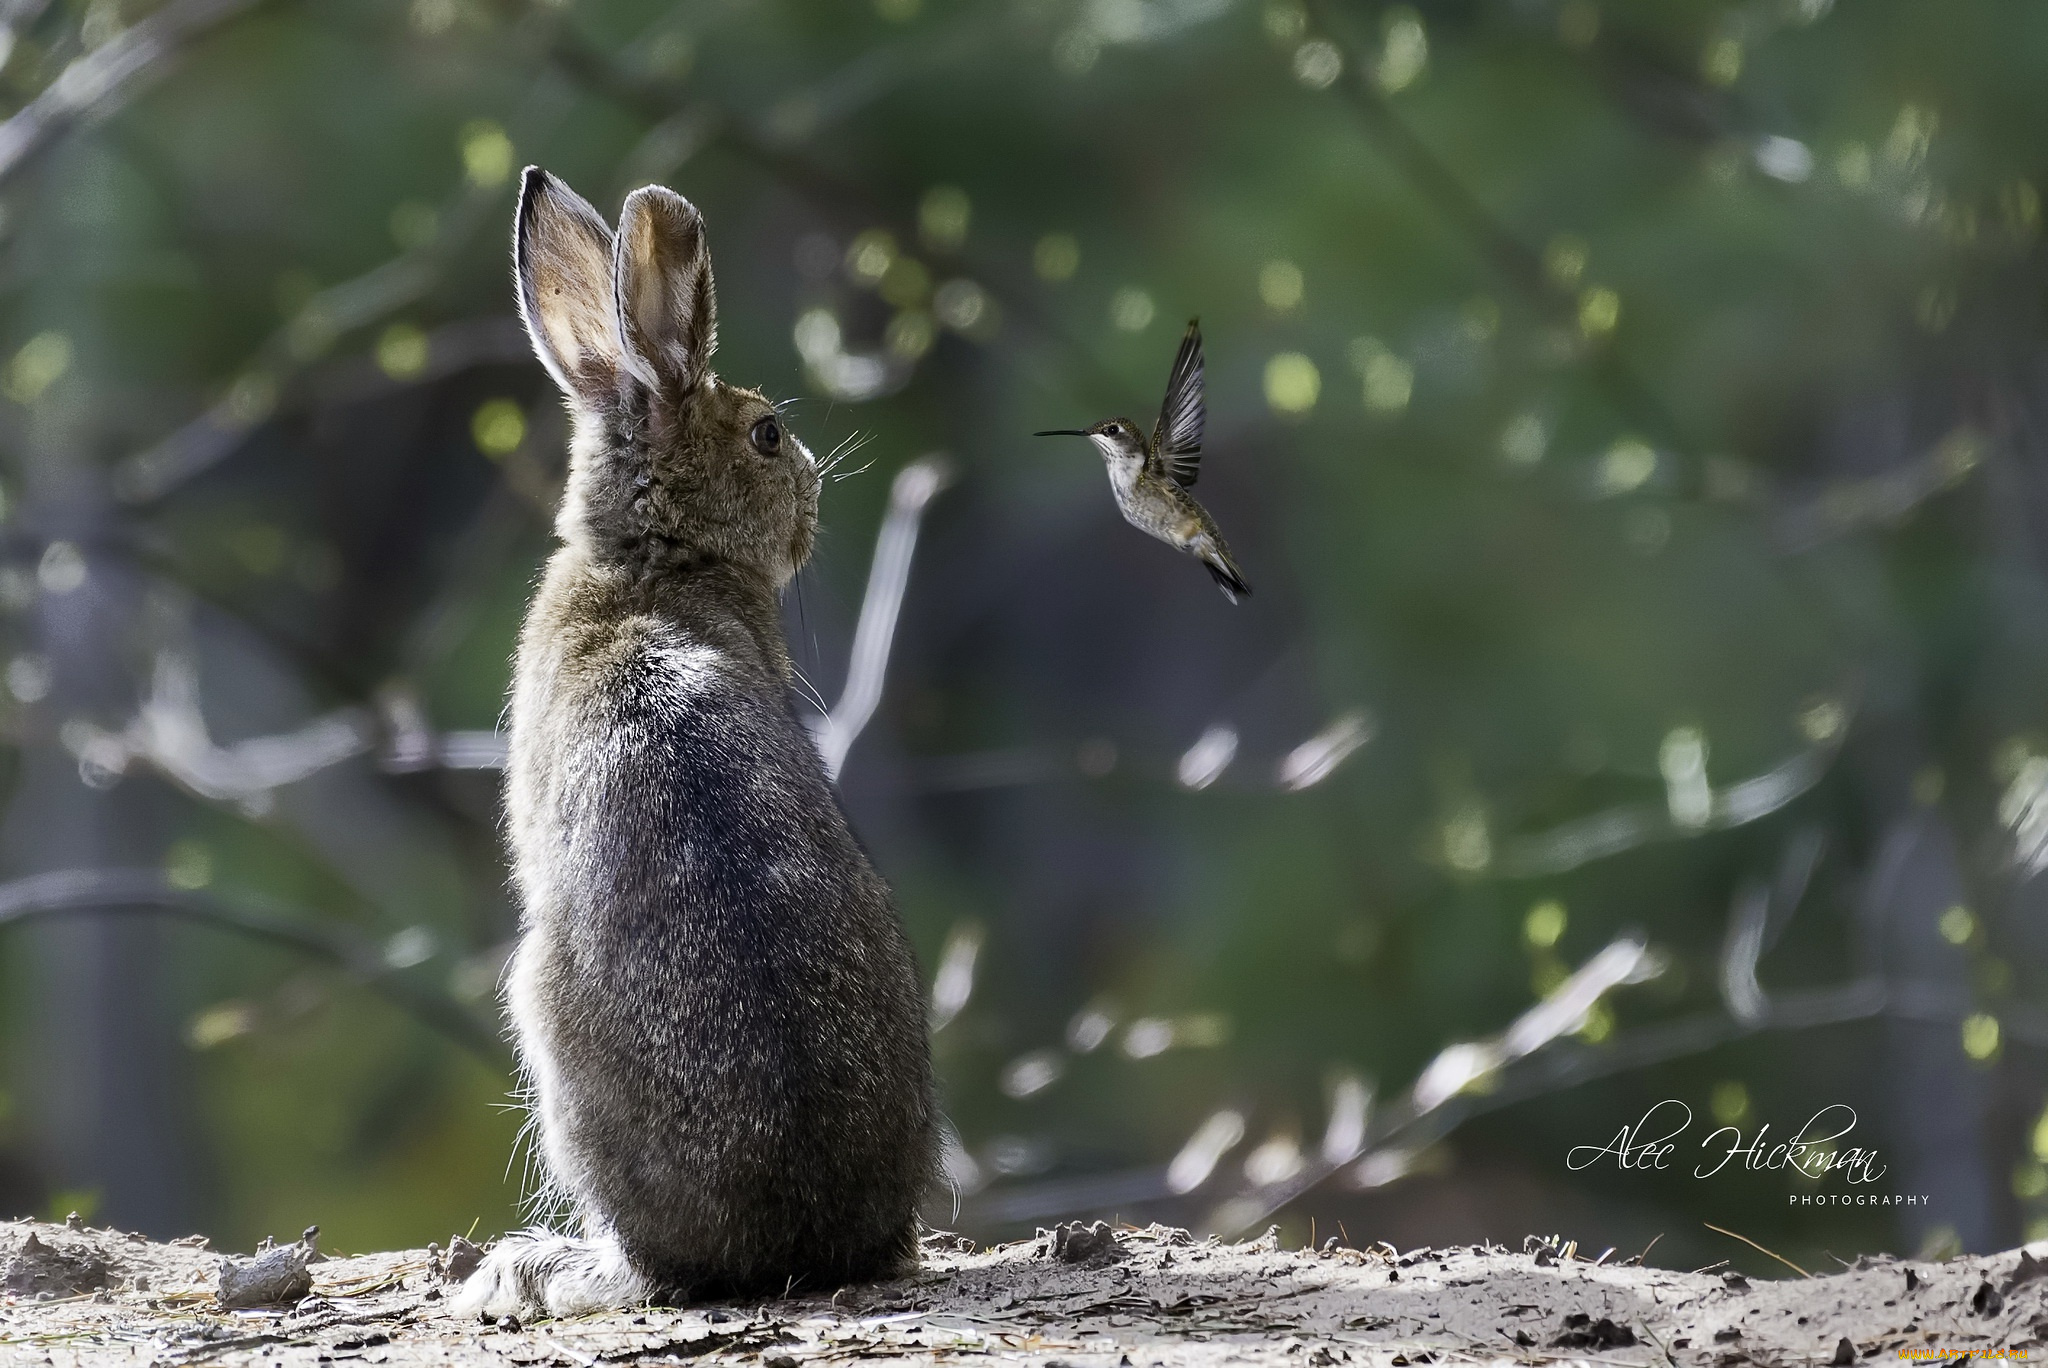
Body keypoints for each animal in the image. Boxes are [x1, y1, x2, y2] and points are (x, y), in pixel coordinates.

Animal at [454, 165, 937, 1318]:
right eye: (764, 435)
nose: (811, 488)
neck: (654, 555)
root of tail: (804, 1239)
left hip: (540, 1013)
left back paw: (535, 1272)